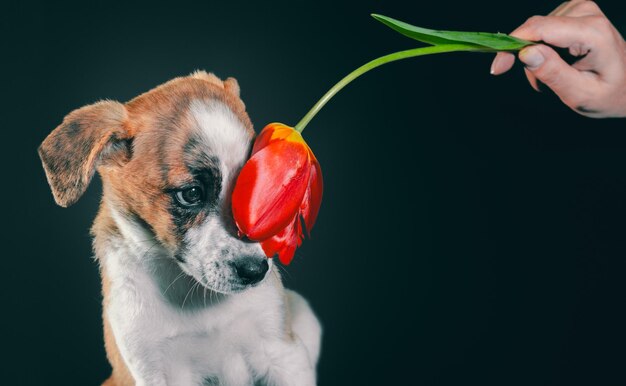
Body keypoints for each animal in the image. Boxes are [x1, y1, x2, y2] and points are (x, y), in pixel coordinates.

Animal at [38, 71, 320, 386]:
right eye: (191, 194)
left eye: (255, 182)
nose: (255, 271)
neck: (192, 295)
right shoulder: (156, 368)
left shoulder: (284, 353)